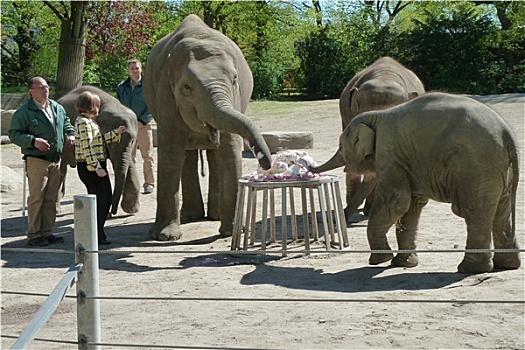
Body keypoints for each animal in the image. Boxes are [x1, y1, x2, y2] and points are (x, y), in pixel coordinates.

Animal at [58, 86, 140, 215]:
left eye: (133, 141)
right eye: (110, 145)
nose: (112, 212)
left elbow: (128, 163)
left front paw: (131, 209)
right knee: (62, 168)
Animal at [144, 15, 270, 242]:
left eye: (235, 79)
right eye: (186, 87)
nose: (265, 162)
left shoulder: (235, 97)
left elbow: (229, 151)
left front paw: (232, 231)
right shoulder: (165, 95)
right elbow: (170, 155)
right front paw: (165, 237)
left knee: (214, 156)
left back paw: (214, 216)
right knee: (186, 155)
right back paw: (190, 216)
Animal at [312, 91, 520, 274]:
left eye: (340, 146)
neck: (377, 116)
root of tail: (506, 132)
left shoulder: (389, 152)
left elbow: (396, 203)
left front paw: (379, 261)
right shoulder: (409, 162)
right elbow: (412, 205)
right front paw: (402, 263)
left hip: (477, 167)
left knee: (474, 211)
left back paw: (470, 269)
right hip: (500, 169)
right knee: (501, 212)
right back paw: (507, 265)